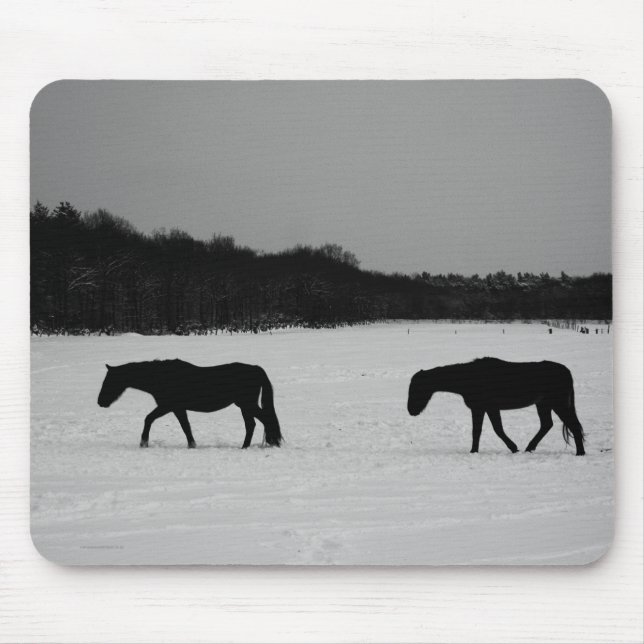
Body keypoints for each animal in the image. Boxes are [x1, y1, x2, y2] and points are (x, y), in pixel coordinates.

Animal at [97, 360, 283, 449]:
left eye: (109, 381)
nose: (100, 402)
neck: (162, 377)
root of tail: (255, 368)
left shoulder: (169, 406)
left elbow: (149, 419)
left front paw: (143, 443)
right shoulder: (177, 408)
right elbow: (185, 427)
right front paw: (192, 445)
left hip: (246, 404)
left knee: (263, 420)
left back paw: (270, 443)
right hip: (244, 406)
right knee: (252, 424)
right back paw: (246, 446)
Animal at [407, 357, 585, 455]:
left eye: (416, 389)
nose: (411, 411)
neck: (471, 378)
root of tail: (565, 371)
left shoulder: (486, 408)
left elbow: (494, 430)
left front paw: (512, 448)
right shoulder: (483, 409)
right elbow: (481, 431)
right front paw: (475, 451)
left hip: (558, 404)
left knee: (573, 425)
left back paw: (580, 453)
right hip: (543, 404)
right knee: (547, 424)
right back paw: (529, 448)